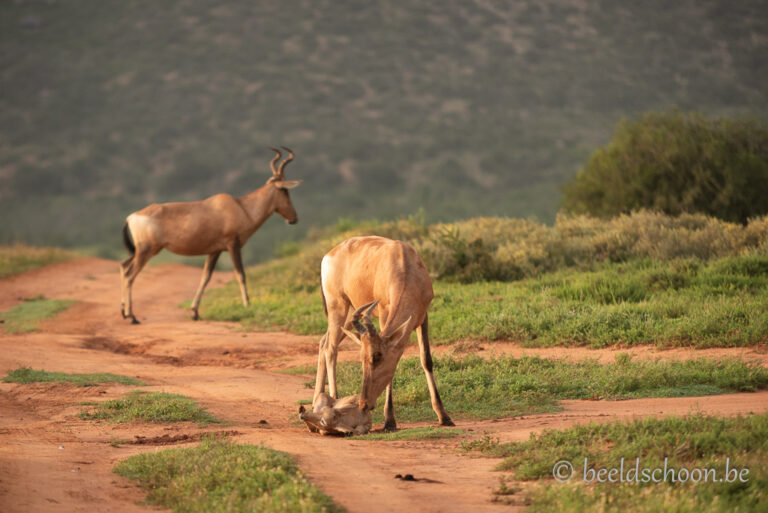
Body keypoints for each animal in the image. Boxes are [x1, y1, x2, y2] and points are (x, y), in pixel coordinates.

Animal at [119, 146, 300, 322]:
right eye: (285, 191)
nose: (294, 218)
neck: (241, 207)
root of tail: (132, 216)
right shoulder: (233, 245)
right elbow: (240, 274)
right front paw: (248, 306)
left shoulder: (215, 251)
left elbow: (205, 277)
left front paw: (195, 312)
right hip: (147, 250)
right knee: (129, 275)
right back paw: (132, 316)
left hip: (139, 251)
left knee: (123, 266)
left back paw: (124, 312)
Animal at [316, 235, 452, 428]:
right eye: (363, 358)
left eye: (376, 357)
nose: (363, 404)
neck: (403, 263)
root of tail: (329, 255)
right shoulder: (383, 313)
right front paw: (389, 420)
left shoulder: (422, 317)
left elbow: (426, 359)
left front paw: (444, 416)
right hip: (338, 307)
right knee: (331, 348)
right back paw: (334, 399)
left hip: (350, 314)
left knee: (323, 342)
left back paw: (317, 400)